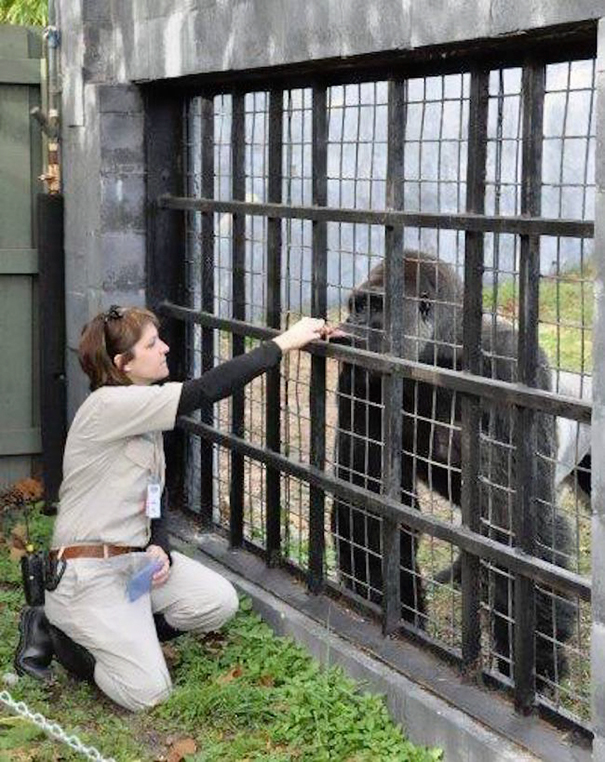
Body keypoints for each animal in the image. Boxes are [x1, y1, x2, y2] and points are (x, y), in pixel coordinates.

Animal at [332, 249, 572, 684]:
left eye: (374, 307)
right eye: (356, 306)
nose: (352, 324)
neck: (442, 348)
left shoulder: (511, 360)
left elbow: (516, 512)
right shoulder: (357, 376)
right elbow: (367, 499)